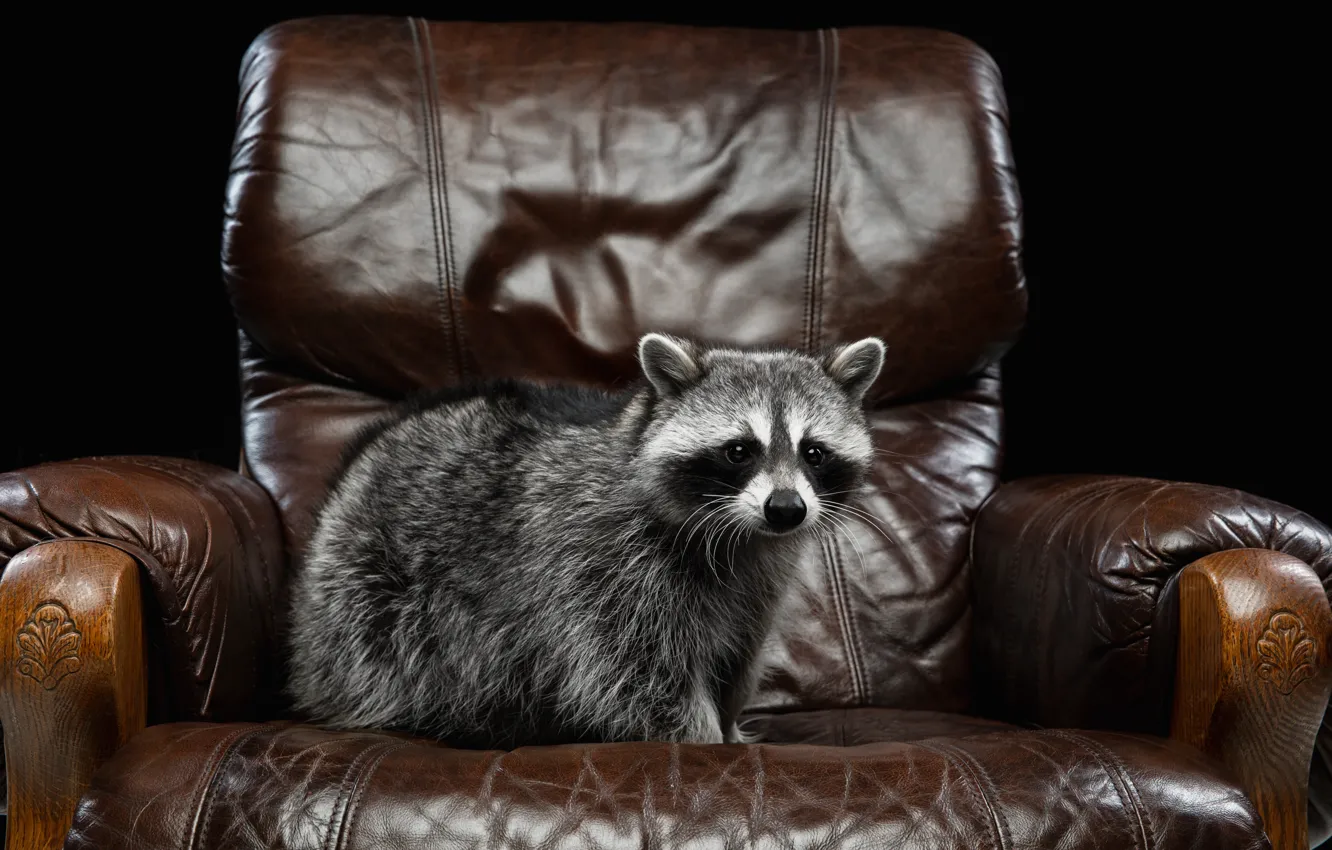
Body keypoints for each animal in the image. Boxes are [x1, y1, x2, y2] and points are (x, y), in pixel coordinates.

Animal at [287, 332, 886, 748]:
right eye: (739, 450)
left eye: (814, 452)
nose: (786, 509)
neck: (743, 535)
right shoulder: (601, 560)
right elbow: (635, 676)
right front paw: (703, 738)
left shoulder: (760, 579)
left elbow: (736, 661)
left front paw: (730, 723)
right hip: (367, 585)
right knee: (386, 651)